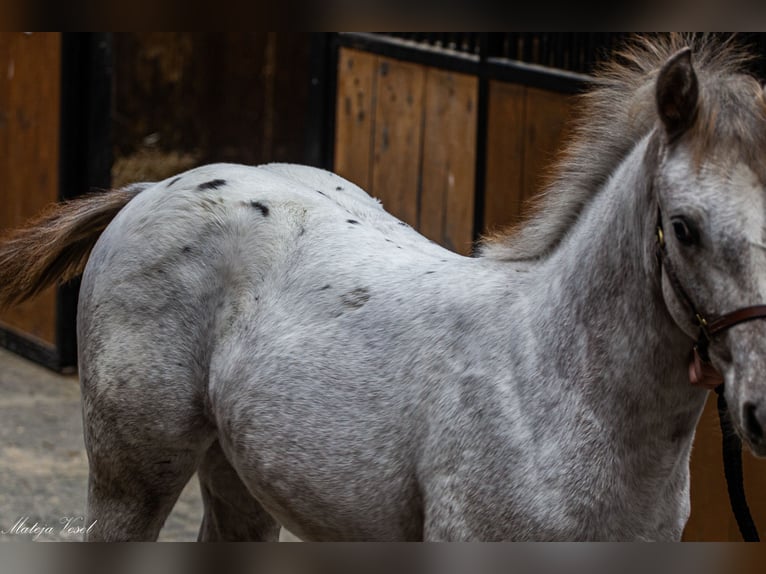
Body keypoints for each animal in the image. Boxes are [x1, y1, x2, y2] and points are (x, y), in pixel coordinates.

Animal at [1, 33, 766, 544]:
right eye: (684, 227)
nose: (762, 413)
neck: (551, 388)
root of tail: (151, 187)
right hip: (130, 480)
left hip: (240, 478)